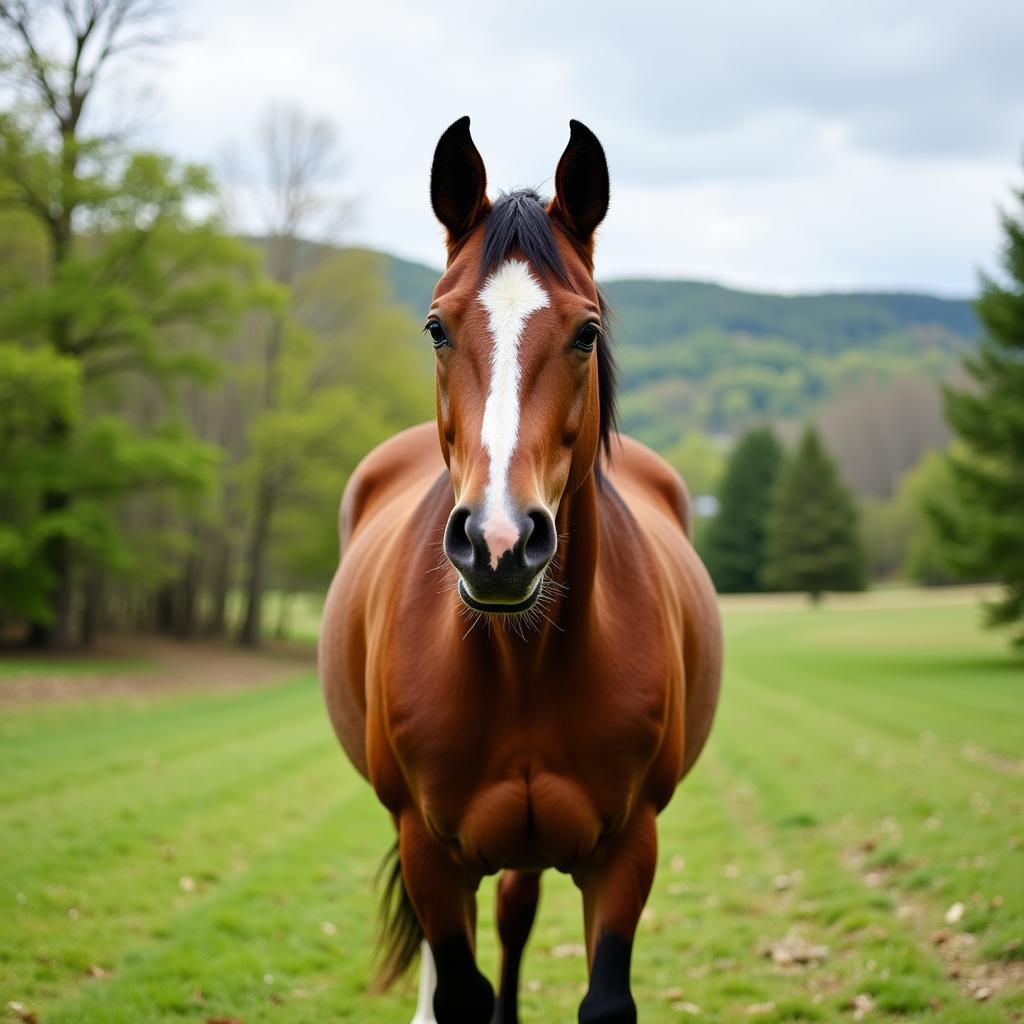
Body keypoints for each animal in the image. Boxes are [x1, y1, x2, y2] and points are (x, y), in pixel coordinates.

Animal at [319, 117, 720, 1024]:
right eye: (436, 327)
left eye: (587, 331)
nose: (499, 542)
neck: (522, 663)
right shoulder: (428, 849)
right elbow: (458, 988)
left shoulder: (628, 847)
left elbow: (599, 998)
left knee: (513, 913)